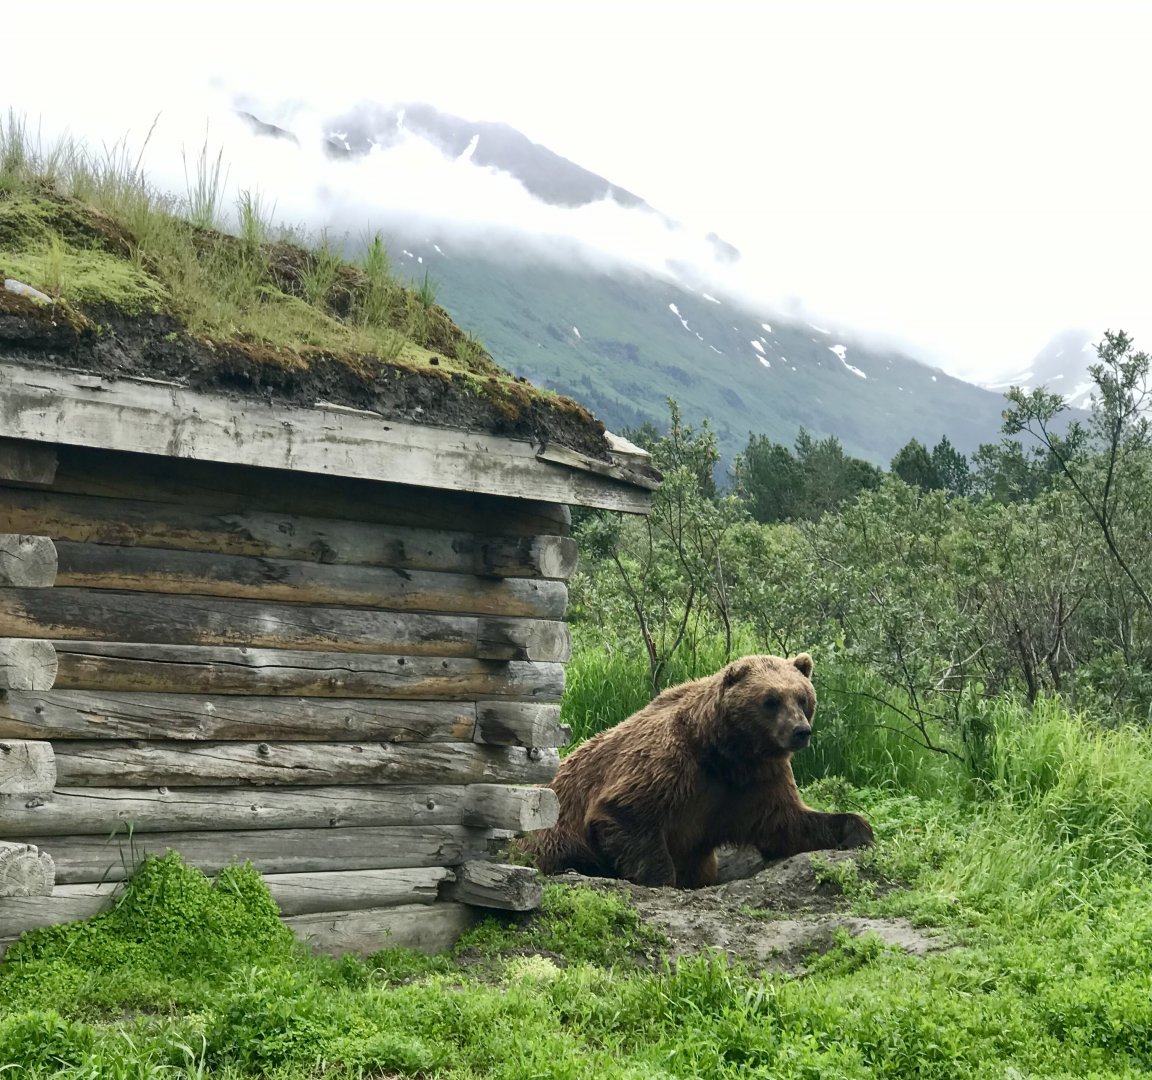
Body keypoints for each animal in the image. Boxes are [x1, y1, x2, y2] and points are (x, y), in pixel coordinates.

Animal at [519, 652, 873, 888]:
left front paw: (858, 830)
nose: (800, 731)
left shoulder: (757, 782)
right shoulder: (671, 768)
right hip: (552, 829)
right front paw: (661, 877)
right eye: (771, 700)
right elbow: (626, 811)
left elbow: (788, 823)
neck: (725, 753)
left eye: (802, 697)